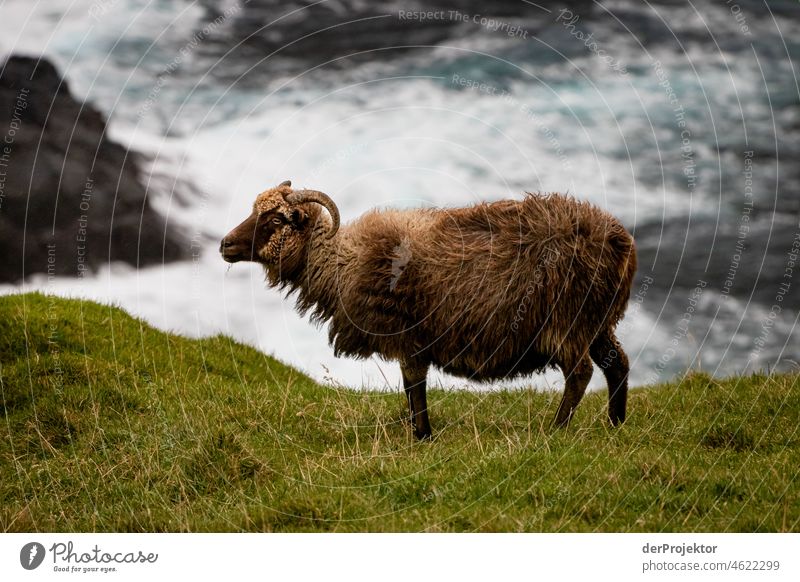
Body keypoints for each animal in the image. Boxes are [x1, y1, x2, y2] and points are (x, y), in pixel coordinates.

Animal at [219, 180, 636, 440]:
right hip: (598, 321)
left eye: (276, 219)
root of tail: (620, 240)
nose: (225, 244)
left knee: (580, 373)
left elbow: (414, 385)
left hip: (569, 319)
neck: (343, 262)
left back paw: (557, 430)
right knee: (617, 364)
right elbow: (409, 387)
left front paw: (422, 435)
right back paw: (616, 424)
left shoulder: (408, 335)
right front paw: (417, 431)